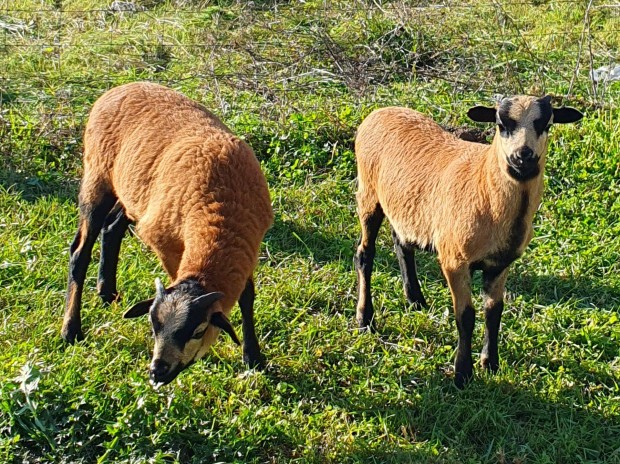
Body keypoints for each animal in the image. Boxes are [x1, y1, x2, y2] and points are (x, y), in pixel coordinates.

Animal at [61, 82, 272, 384]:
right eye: (153, 327)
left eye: (197, 331)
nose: (156, 372)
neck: (218, 216)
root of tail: (118, 88)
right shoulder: (166, 242)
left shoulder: (247, 248)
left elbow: (247, 297)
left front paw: (253, 357)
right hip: (96, 178)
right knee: (79, 252)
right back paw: (71, 330)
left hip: (132, 192)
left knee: (111, 228)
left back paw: (107, 292)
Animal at [354, 95, 580, 388]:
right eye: (500, 124)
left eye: (547, 124)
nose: (523, 156)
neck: (485, 186)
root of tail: (379, 112)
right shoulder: (455, 260)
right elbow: (466, 316)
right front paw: (462, 373)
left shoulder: (499, 264)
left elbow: (494, 311)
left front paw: (490, 363)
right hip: (368, 195)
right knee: (364, 255)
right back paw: (365, 318)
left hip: (405, 208)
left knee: (401, 242)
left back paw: (415, 299)